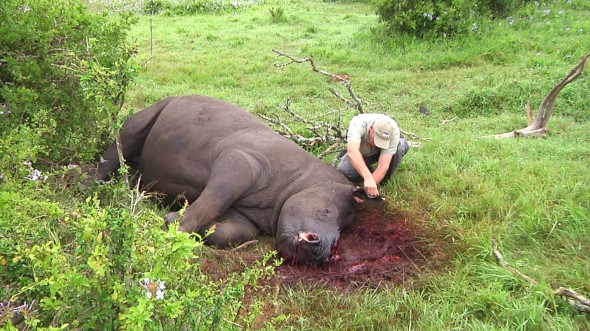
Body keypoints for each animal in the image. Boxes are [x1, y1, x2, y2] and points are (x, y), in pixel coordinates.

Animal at [89, 95, 366, 264]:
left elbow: (230, 232)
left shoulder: (249, 215)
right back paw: (89, 185)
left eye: (342, 230)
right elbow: (216, 197)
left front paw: (194, 227)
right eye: (325, 212)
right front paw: (175, 228)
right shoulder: (242, 161)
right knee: (130, 131)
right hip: (161, 104)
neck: (300, 181)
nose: (326, 252)